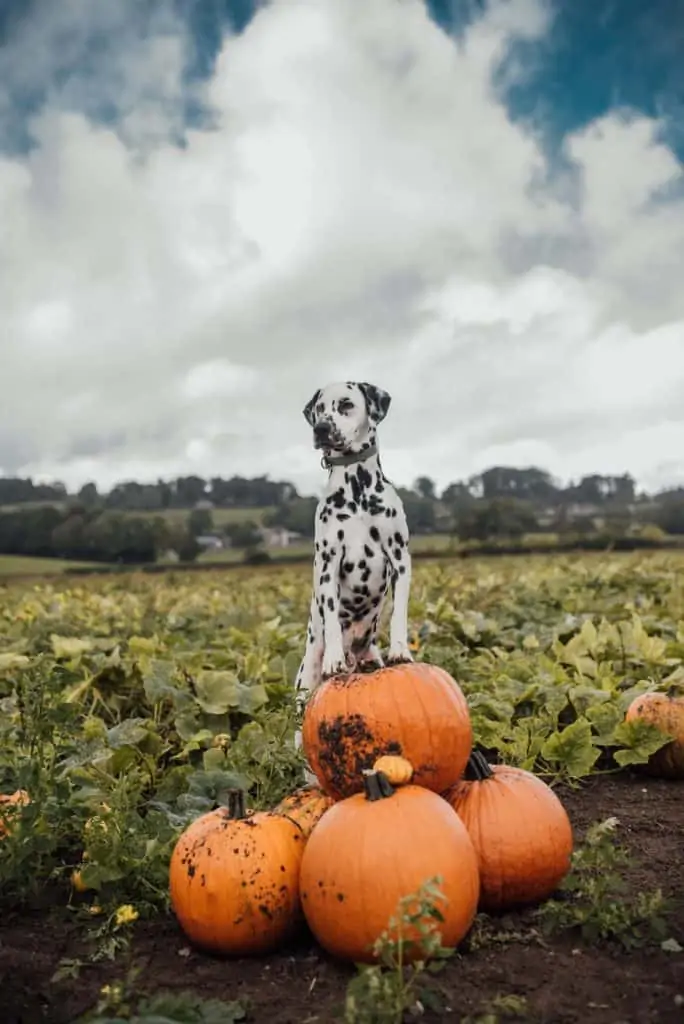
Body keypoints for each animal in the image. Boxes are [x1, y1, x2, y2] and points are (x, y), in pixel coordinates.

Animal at [292, 385, 411, 712]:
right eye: (319, 409)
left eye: (346, 405)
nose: (321, 428)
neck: (356, 489)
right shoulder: (328, 565)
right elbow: (331, 616)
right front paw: (333, 660)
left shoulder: (400, 558)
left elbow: (399, 612)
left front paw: (401, 650)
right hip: (305, 681)